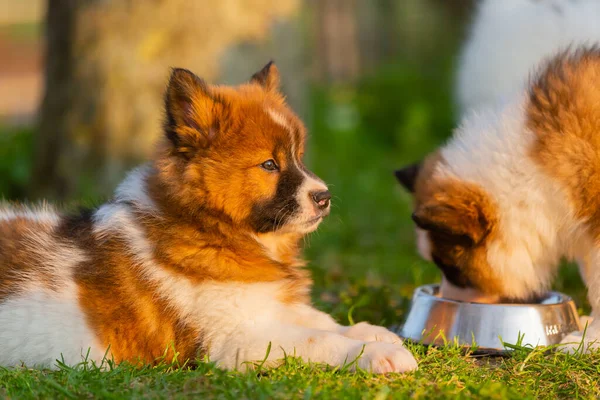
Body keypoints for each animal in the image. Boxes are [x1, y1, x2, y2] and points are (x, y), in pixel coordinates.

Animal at [0, 62, 418, 372]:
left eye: (299, 156)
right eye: (269, 164)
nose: (324, 197)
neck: (209, 227)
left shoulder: (265, 305)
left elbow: (319, 320)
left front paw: (371, 331)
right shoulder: (234, 340)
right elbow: (317, 338)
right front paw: (375, 353)